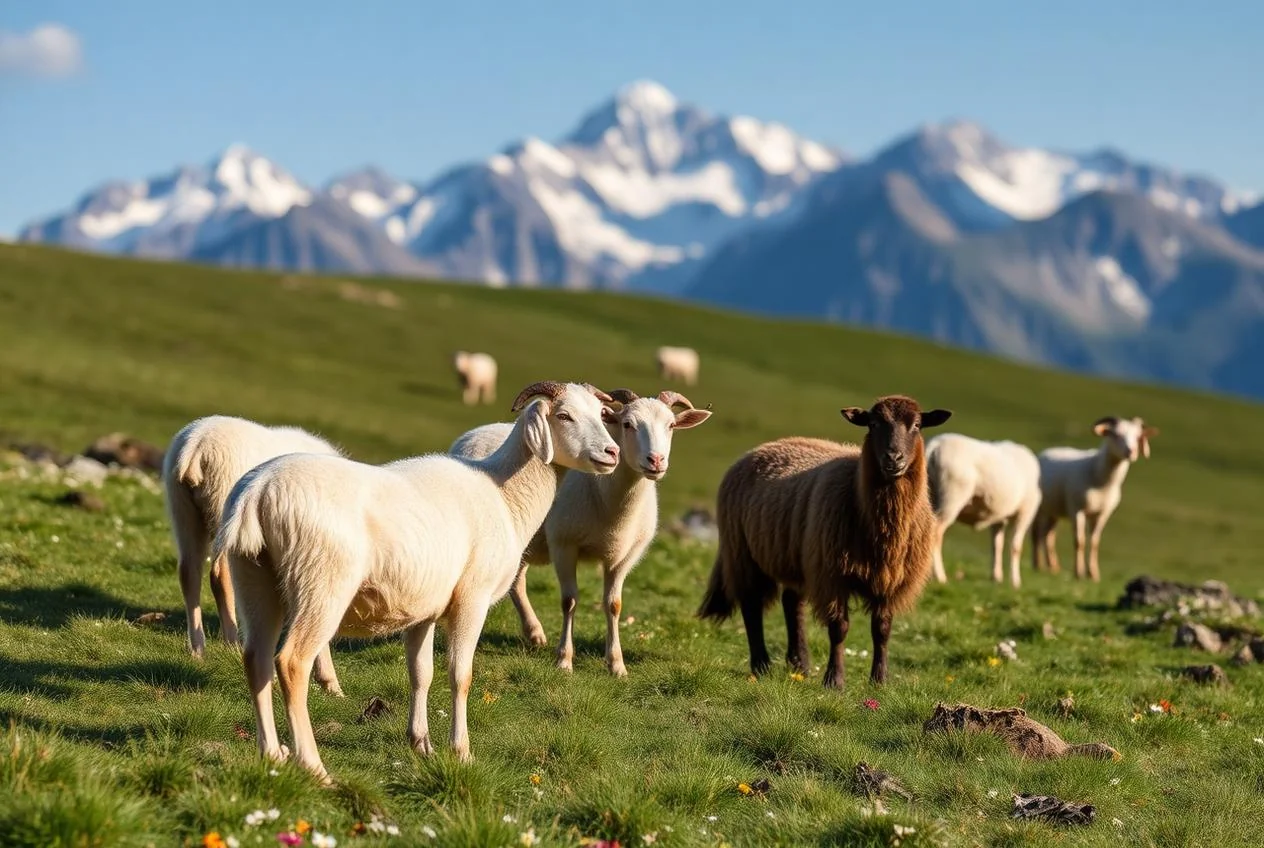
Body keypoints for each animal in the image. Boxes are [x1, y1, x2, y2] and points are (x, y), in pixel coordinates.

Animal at [215, 381, 619, 781]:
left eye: (601, 415)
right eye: (563, 416)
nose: (612, 453)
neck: (504, 495)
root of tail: (257, 492)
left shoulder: (423, 610)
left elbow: (420, 674)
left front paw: (421, 743)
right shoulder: (472, 598)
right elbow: (460, 674)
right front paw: (461, 751)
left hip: (254, 575)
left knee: (256, 659)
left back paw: (271, 753)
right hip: (322, 582)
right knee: (292, 662)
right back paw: (313, 766)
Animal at [450, 389, 713, 676]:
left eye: (671, 425)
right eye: (627, 424)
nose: (655, 460)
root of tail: (476, 431)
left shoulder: (625, 558)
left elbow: (614, 605)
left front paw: (617, 665)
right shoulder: (564, 544)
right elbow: (570, 601)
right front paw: (564, 660)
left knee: (517, 581)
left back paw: (534, 634)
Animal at [697, 395, 951, 688]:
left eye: (917, 425)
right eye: (873, 424)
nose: (893, 457)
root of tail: (760, 448)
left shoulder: (891, 581)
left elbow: (882, 630)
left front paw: (879, 680)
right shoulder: (832, 575)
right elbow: (839, 628)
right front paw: (834, 681)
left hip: (796, 557)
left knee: (791, 603)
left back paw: (800, 664)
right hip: (741, 551)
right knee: (751, 605)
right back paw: (761, 665)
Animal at [925, 433, 1041, 589]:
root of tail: (934, 445)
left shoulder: (998, 517)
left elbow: (997, 545)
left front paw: (996, 577)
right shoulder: (1025, 511)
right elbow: (1016, 547)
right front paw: (1015, 582)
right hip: (952, 494)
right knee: (936, 532)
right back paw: (940, 577)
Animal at [1031, 416, 1158, 582]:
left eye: (1137, 437)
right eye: (1116, 434)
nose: (1131, 452)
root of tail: (1048, 451)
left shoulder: (1102, 513)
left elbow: (1095, 542)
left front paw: (1093, 575)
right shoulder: (1077, 509)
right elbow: (1079, 541)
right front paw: (1078, 573)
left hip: (1055, 510)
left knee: (1048, 535)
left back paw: (1053, 568)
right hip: (1040, 507)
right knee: (1036, 534)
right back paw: (1037, 565)